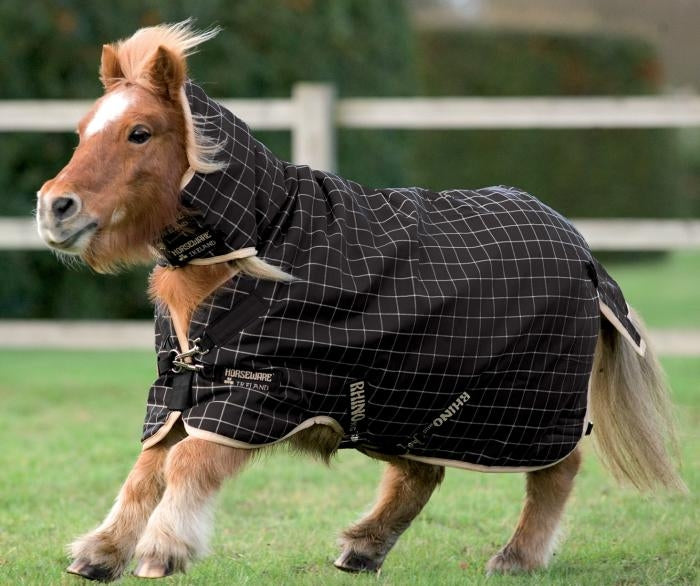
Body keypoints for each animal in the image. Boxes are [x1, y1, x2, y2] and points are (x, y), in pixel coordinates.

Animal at [37, 22, 685, 582]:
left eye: (139, 132)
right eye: (83, 130)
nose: (54, 207)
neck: (262, 242)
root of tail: (581, 248)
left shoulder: (255, 395)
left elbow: (186, 462)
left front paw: (161, 549)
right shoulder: (179, 389)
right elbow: (147, 469)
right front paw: (100, 552)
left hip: (523, 407)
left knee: (559, 468)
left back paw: (517, 557)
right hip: (409, 404)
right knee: (421, 473)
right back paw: (365, 547)